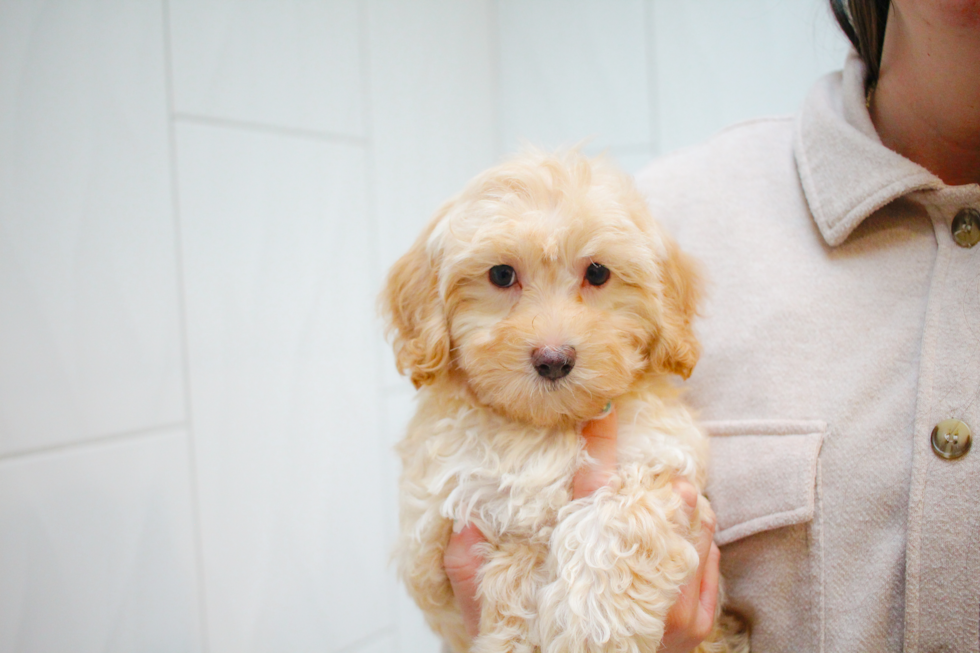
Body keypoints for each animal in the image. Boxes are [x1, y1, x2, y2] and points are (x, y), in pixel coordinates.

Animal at [380, 149, 744, 652]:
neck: (547, 428)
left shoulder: (666, 464)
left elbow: (619, 514)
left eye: (597, 273)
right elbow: (513, 564)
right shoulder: (444, 527)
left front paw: (592, 620)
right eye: (501, 275)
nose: (553, 360)